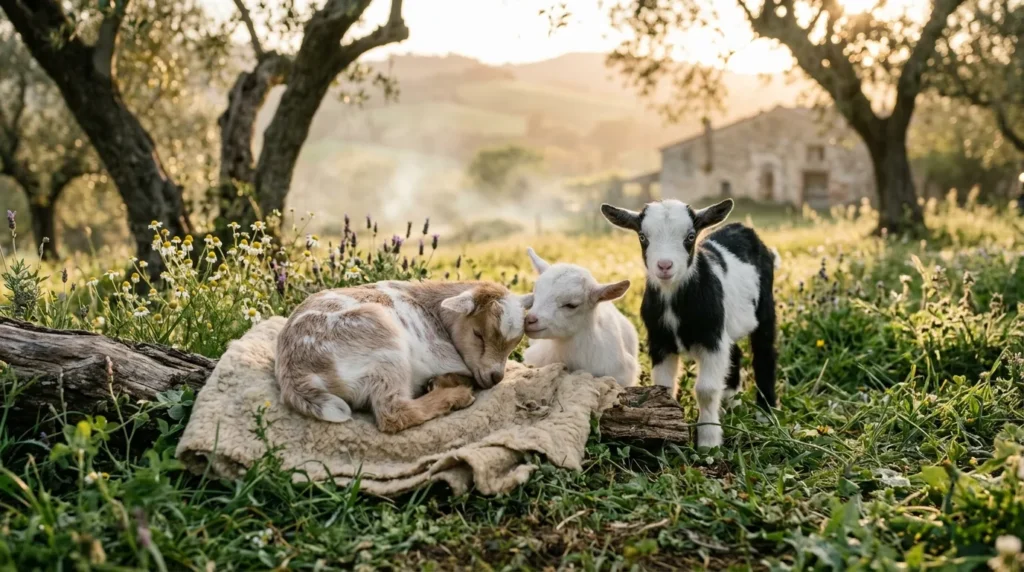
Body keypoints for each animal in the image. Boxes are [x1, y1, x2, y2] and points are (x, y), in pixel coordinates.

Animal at [275, 280, 532, 433]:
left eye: (515, 344)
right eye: (478, 334)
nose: (496, 377)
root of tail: (295, 376)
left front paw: (438, 382)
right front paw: (448, 383)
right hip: (384, 344)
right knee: (393, 412)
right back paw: (457, 396)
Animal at [601, 198, 778, 449]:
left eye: (690, 236)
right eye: (643, 236)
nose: (665, 265)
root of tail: (743, 228)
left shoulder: (711, 340)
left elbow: (706, 390)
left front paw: (709, 442)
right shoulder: (660, 341)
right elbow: (664, 386)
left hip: (765, 308)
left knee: (764, 353)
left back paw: (766, 413)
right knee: (735, 354)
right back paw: (731, 404)